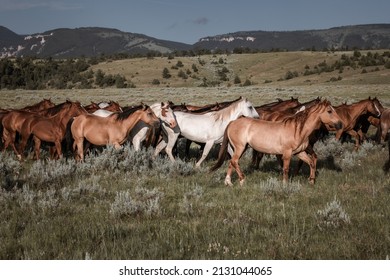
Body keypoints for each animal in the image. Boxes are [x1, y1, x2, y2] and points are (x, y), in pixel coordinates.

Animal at [212, 100, 342, 186]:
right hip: (240, 147)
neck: (297, 129)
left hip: (240, 148)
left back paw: (228, 182)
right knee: (234, 161)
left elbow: (311, 163)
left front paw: (311, 180)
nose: (340, 124)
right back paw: (242, 180)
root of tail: (232, 122)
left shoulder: (299, 152)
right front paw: (285, 185)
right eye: (329, 111)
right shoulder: (287, 153)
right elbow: (286, 169)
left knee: (232, 162)